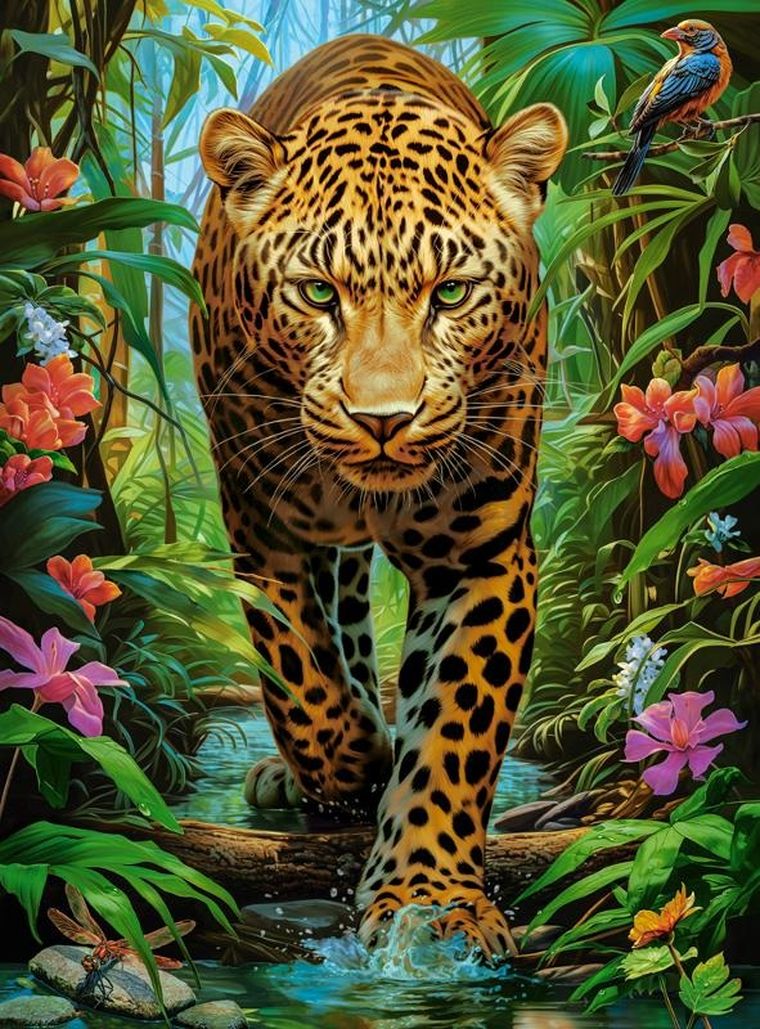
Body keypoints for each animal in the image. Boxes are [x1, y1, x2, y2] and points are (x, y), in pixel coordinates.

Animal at [191, 33, 567, 960]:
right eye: (317, 292)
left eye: (452, 293)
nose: (383, 420)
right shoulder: (261, 532)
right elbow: (301, 678)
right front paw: (353, 765)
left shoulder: (483, 555)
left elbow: (455, 729)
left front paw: (431, 902)